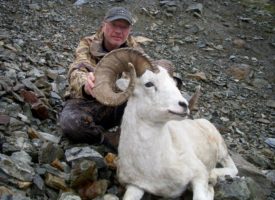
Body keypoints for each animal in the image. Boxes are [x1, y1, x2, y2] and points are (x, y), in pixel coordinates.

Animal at [92, 48, 239, 200]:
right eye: (149, 84)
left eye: (174, 84)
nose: (184, 105)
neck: (153, 165)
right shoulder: (135, 187)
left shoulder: (199, 175)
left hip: (222, 152)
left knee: (233, 168)